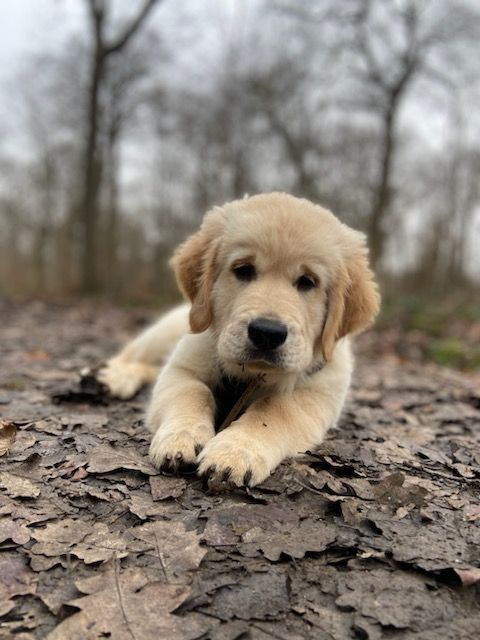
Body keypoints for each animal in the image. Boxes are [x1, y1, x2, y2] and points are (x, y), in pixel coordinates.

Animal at [99, 192, 380, 488]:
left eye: (307, 281)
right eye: (244, 269)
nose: (267, 333)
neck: (253, 375)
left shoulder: (318, 395)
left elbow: (275, 408)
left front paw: (235, 452)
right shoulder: (183, 366)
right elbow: (193, 391)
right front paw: (182, 436)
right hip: (164, 331)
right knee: (134, 356)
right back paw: (112, 377)